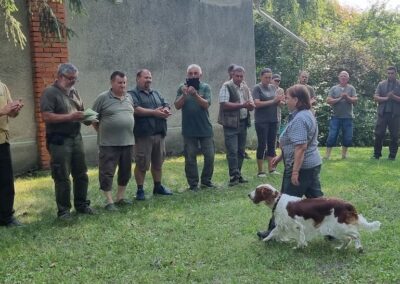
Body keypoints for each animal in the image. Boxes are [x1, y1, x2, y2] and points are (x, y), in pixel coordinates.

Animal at [247, 184, 382, 251]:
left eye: (257, 190)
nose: (248, 194)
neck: (278, 200)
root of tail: (347, 204)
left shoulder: (296, 225)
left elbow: (300, 237)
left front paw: (299, 246)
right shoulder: (283, 224)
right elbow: (273, 231)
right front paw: (266, 239)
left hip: (340, 226)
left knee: (356, 235)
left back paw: (359, 247)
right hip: (336, 229)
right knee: (348, 239)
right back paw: (340, 248)